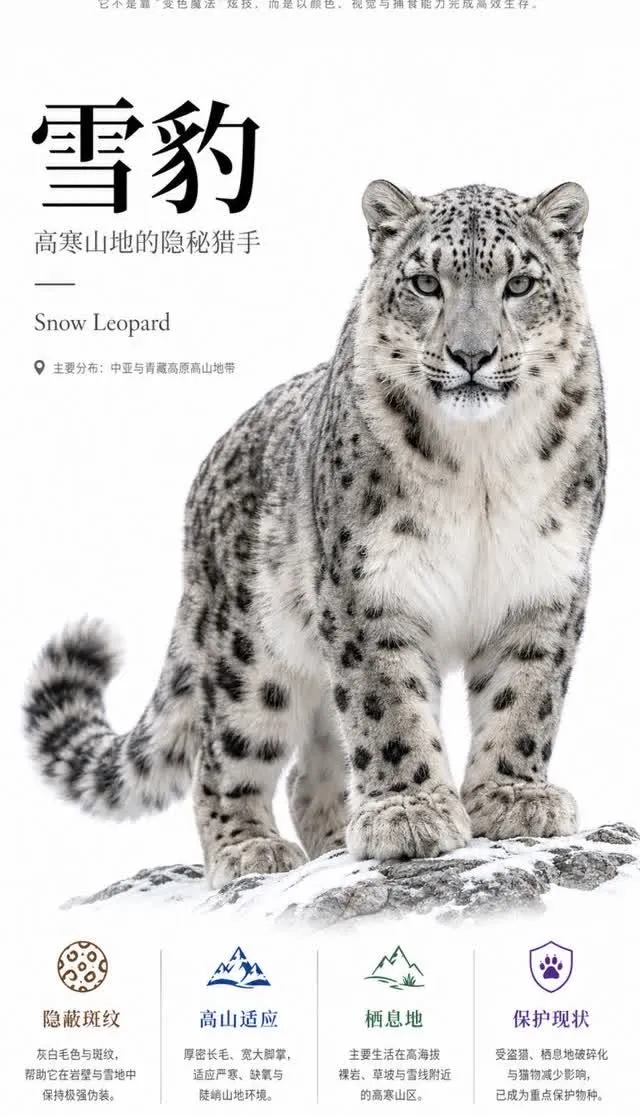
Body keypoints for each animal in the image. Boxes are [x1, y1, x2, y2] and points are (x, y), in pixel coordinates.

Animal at [24, 179, 607, 888]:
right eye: (425, 282)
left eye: (519, 283)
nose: (472, 355)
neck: (482, 466)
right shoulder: (369, 586)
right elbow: (389, 706)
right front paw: (408, 814)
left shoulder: (543, 583)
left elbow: (524, 697)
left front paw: (513, 799)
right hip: (250, 652)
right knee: (224, 757)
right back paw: (251, 850)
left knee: (311, 770)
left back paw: (331, 841)